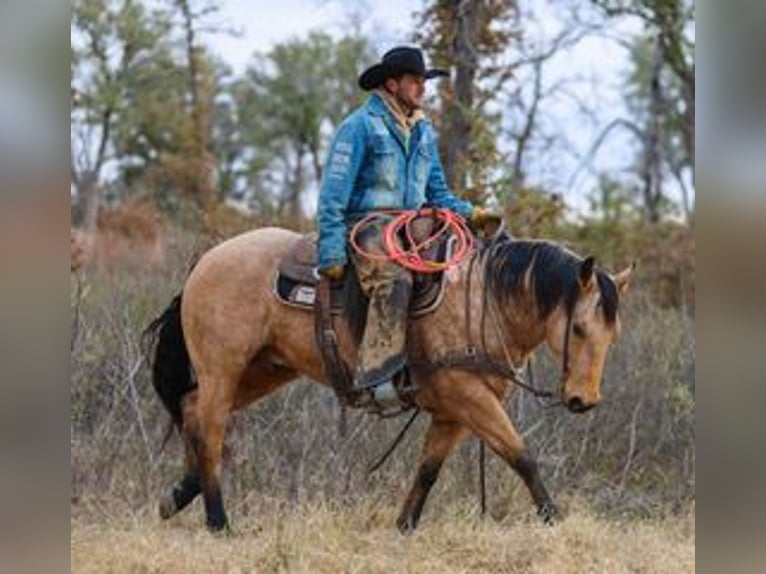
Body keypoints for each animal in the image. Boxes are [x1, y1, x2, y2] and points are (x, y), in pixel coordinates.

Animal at [144, 226, 633, 533]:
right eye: (578, 329)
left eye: (613, 334)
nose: (584, 400)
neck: (482, 300)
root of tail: (206, 261)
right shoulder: (470, 397)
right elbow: (521, 456)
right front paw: (553, 518)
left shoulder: (453, 411)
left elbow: (428, 470)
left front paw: (404, 526)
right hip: (222, 369)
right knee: (210, 432)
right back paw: (218, 522)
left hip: (263, 371)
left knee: (192, 411)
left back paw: (178, 495)